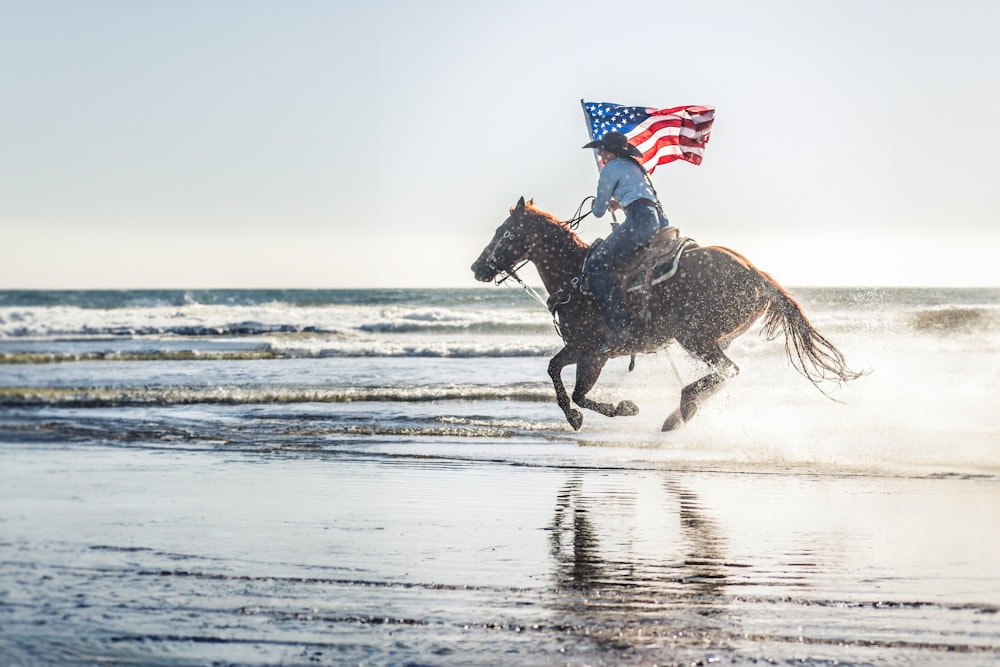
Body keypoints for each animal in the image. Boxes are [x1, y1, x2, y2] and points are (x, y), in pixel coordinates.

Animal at [468, 196, 860, 434]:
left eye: (505, 233)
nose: (476, 268)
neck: (576, 275)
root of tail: (757, 275)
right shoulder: (586, 351)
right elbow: (560, 376)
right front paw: (588, 415)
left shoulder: (592, 351)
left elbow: (571, 386)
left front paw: (610, 411)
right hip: (714, 338)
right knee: (725, 373)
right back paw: (681, 412)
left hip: (695, 337)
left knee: (728, 370)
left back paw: (681, 409)